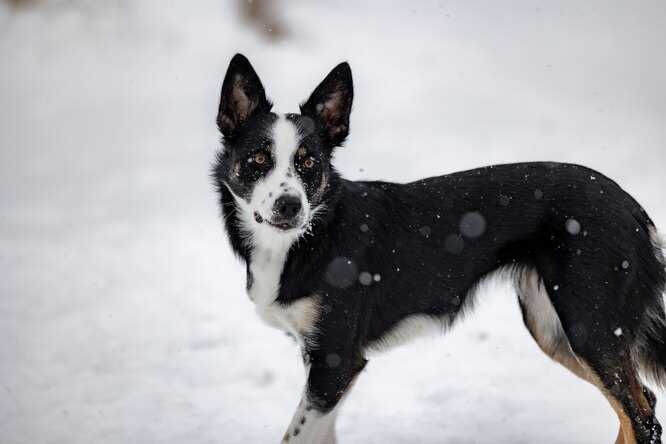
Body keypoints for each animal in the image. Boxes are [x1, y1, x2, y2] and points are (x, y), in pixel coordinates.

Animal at [213, 53, 664, 442]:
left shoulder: (335, 361)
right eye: (258, 159)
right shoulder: (325, 367)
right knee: (641, 405)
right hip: (551, 326)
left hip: (590, 326)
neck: (308, 238)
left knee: (641, 419)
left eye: (308, 163)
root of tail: (632, 206)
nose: (289, 205)